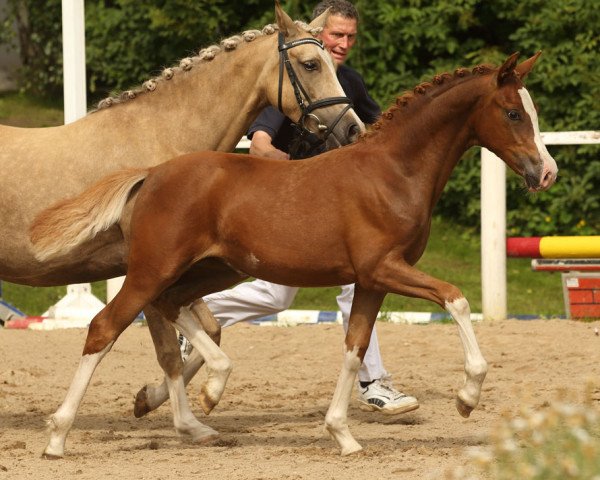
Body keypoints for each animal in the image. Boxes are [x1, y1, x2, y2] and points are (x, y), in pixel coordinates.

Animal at [0, 4, 360, 450]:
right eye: (311, 64)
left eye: (332, 58)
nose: (353, 128)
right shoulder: (147, 274)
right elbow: (169, 349)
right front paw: (188, 419)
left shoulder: (169, 272)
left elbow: (209, 331)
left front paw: (154, 400)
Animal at [31, 52, 556, 458]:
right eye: (513, 113)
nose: (546, 172)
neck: (392, 172)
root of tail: (151, 173)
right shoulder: (386, 267)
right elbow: (456, 299)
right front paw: (467, 397)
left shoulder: (370, 280)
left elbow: (355, 348)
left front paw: (343, 436)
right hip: (153, 268)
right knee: (105, 327)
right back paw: (59, 437)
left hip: (212, 270)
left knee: (171, 306)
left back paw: (201, 393)